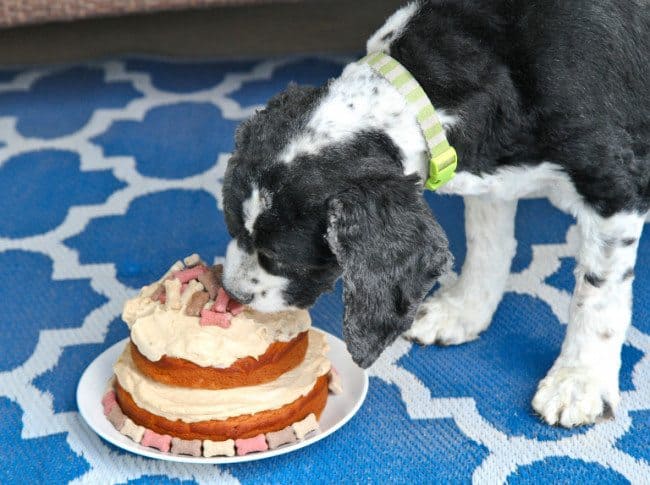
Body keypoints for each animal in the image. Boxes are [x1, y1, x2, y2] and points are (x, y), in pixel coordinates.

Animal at [220, 0, 644, 426]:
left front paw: (580, 381)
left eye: (277, 258)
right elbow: (487, 244)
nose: (232, 293)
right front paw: (463, 312)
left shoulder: (615, 185)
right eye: (233, 227)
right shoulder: (493, 162)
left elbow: (597, 293)